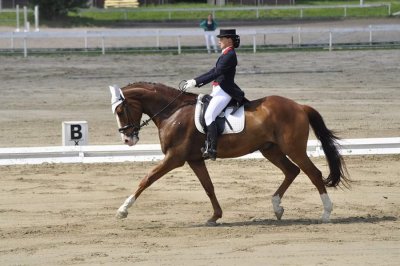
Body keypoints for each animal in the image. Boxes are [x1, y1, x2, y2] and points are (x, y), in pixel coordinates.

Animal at [111, 81, 348, 224]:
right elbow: (208, 187)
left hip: (294, 148)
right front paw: (215, 216)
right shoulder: (195, 159)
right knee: (292, 171)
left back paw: (326, 213)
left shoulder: (175, 158)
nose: (127, 139)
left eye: (121, 110)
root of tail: (300, 106)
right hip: (270, 150)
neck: (173, 112)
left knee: (313, 173)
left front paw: (123, 210)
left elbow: (147, 179)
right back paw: (277, 208)